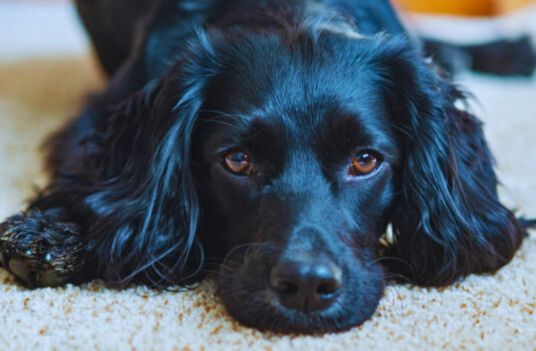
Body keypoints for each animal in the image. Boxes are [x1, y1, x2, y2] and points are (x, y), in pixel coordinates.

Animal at [0, 0, 532, 336]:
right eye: (238, 160)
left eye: (365, 160)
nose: (307, 287)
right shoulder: (100, 115)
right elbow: (87, 178)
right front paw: (51, 231)